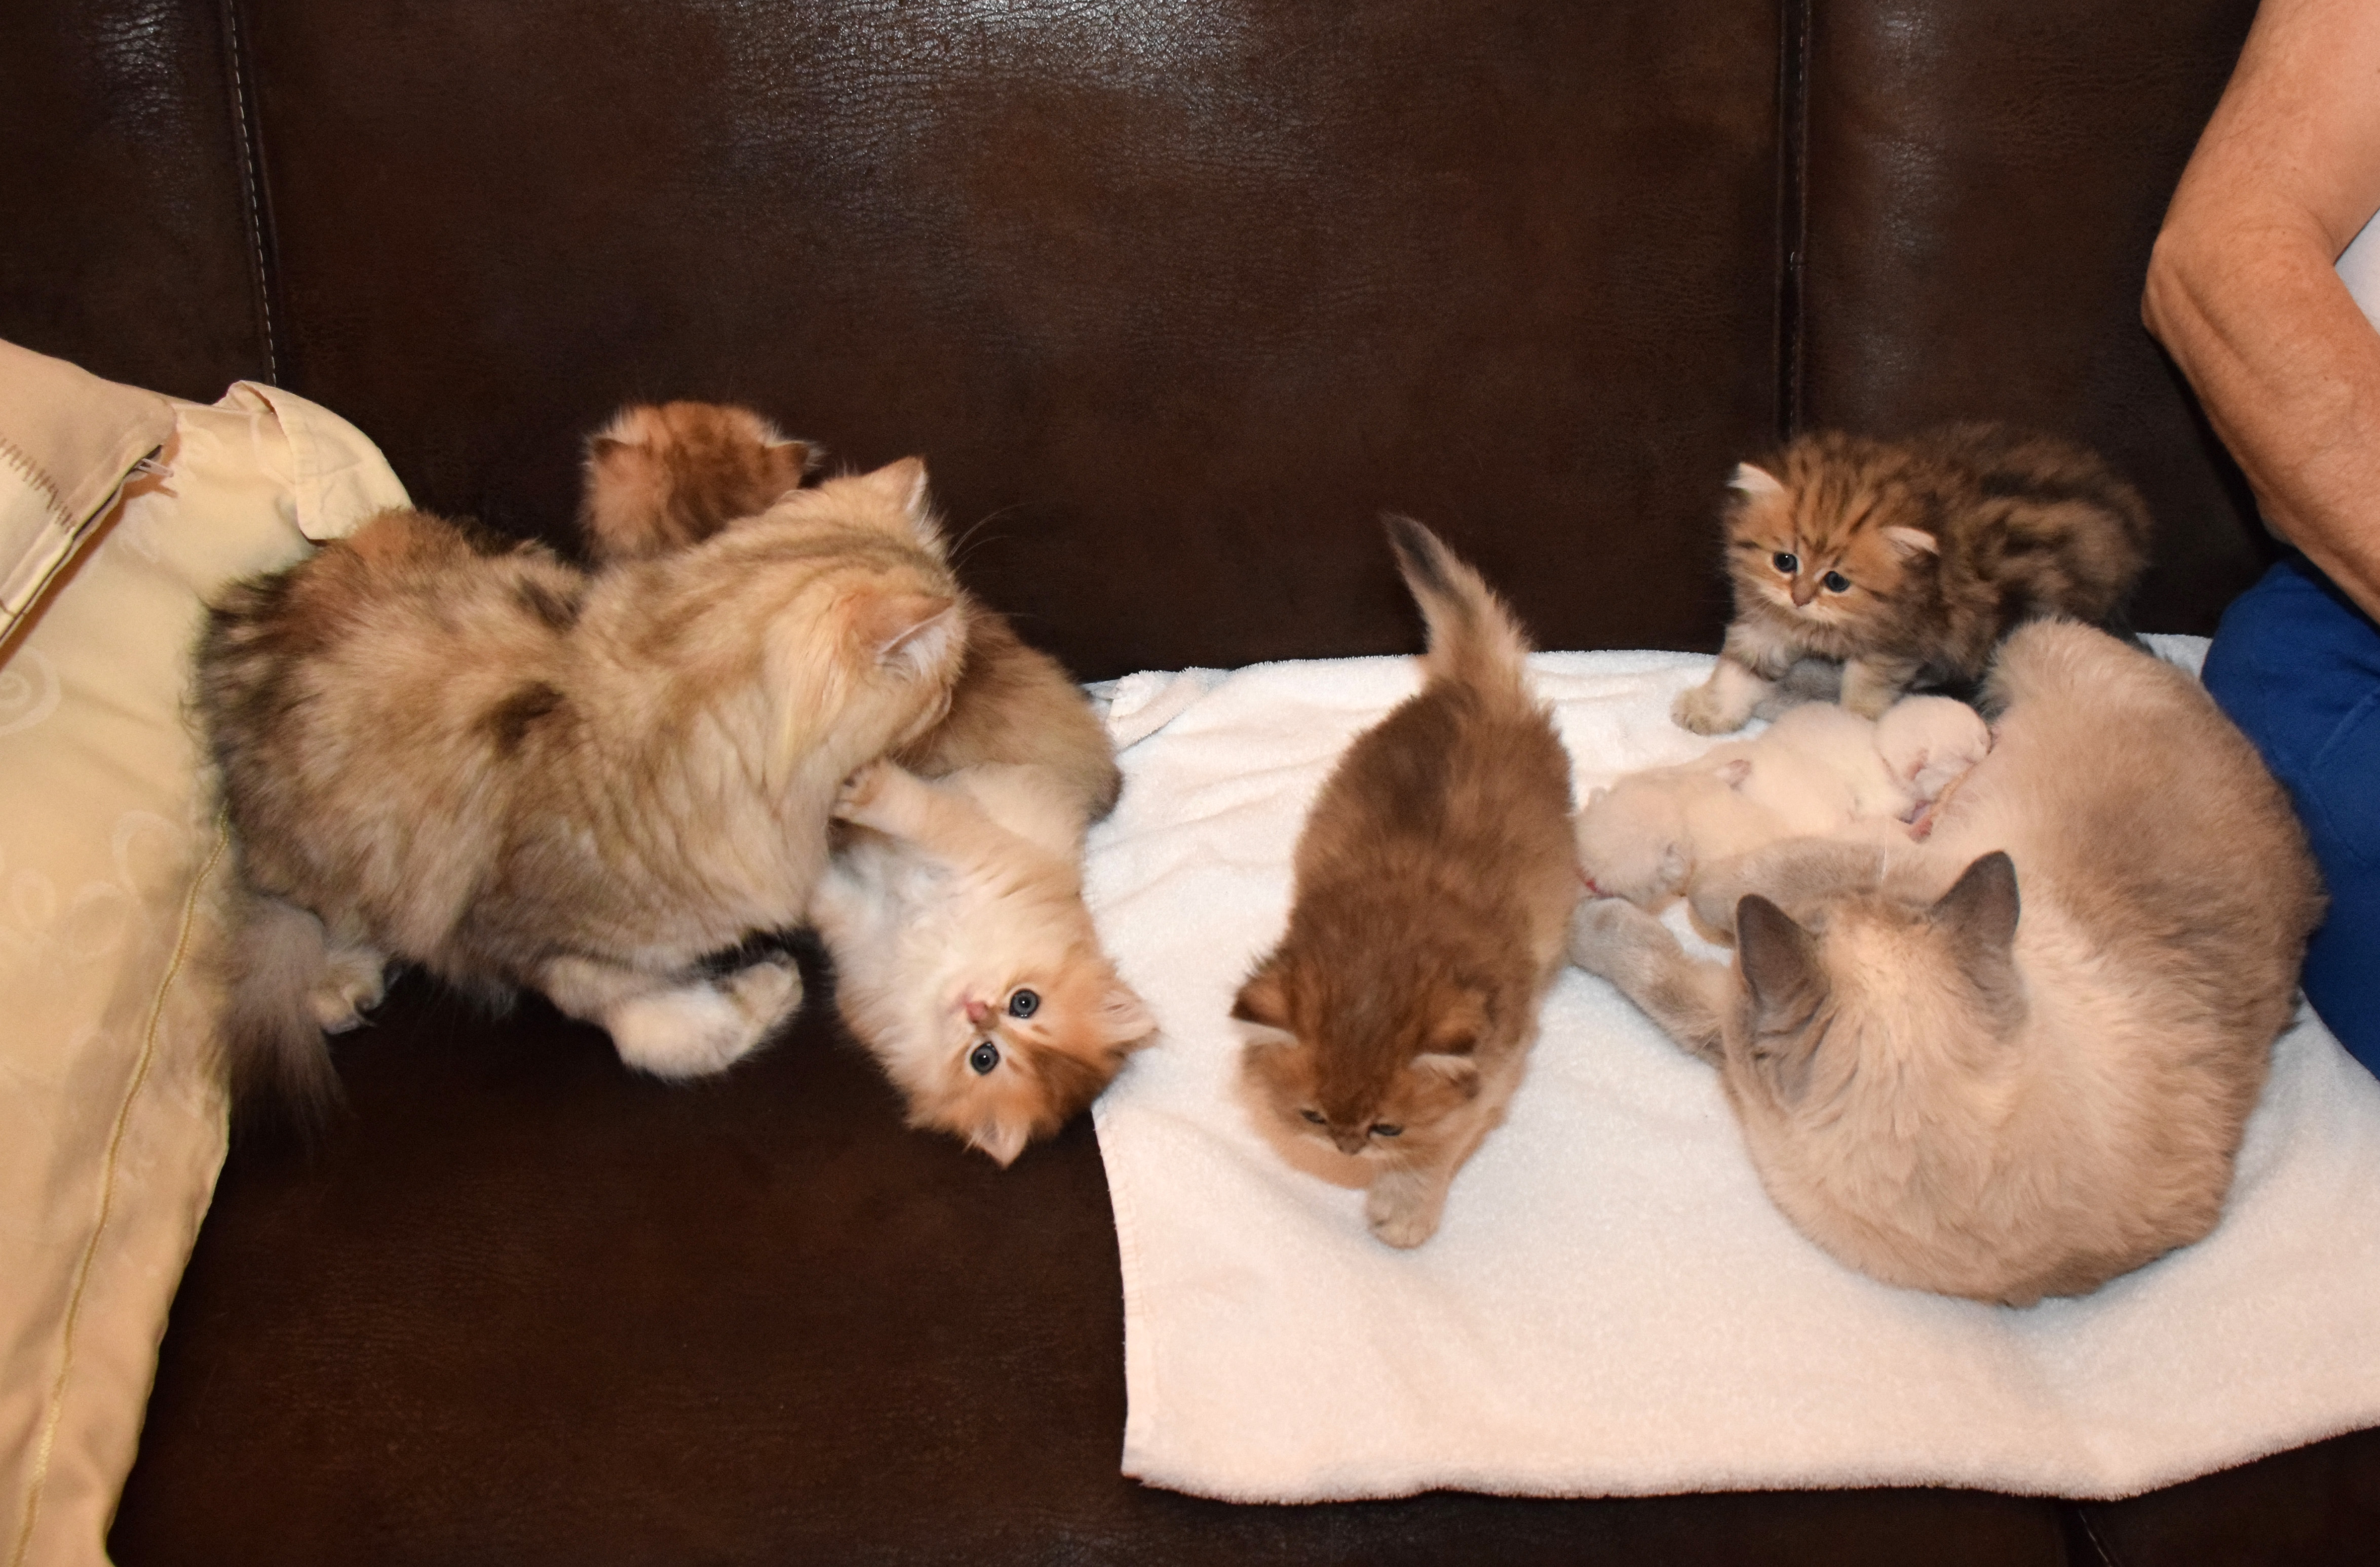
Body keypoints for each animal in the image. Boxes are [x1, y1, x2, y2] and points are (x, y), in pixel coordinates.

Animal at [200, 460, 970, 1123]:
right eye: (943, 687)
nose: (954, 699)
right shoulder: (533, 943)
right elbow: (661, 1033)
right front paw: (763, 990)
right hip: (311, 849)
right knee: (318, 914)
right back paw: (339, 978)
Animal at [811, 759, 1157, 1164]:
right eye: (1025, 1002)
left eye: (984, 1058)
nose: (976, 1012)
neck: (941, 963)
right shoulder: (984, 863)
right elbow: (922, 819)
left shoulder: (866, 943)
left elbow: (916, 820)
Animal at [1235, 517, 1580, 1248]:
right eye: (1313, 1116)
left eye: (1386, 1127)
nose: (1346, 1147)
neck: (1387, 946)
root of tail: (1474, 688)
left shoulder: (1497, 1069)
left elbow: (1438, 1145)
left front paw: (1403, 1207)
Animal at [1672, 423, 2153, 735]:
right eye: (1785, 561)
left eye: (1838, 582)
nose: (1801, 598)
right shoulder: (1766, 622)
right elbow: (1738, 671)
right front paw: (1712, 711)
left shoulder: (1896, 644)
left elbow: (1865, 691)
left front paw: (1851, 727)